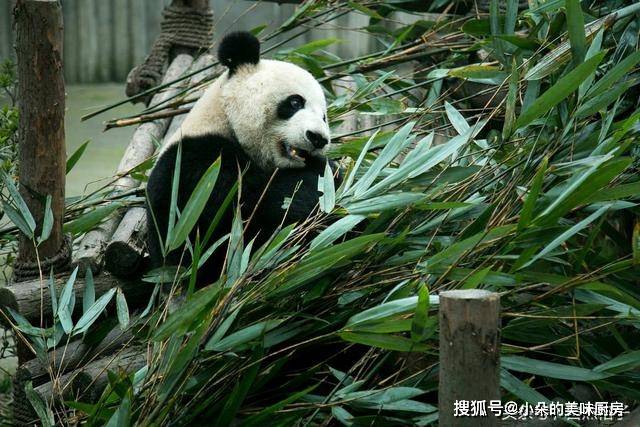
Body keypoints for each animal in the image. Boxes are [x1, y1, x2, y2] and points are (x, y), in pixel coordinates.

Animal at [145, 31, 336, 282]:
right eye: (295, 102)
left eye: (324, 117)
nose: (318, 138)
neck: (224, 119)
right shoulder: (197, 167)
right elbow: (246, 215)